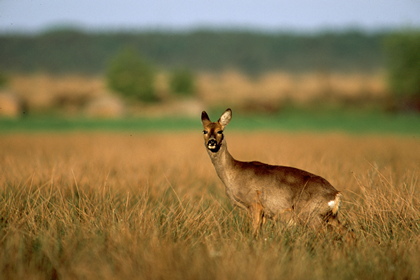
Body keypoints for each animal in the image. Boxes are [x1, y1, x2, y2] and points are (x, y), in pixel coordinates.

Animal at [201, 108, 344, 235]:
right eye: (205, 131)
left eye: (220, 131)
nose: (212, 142)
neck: (233, 173)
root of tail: (335, 194)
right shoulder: (264, 211)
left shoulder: (255, 203)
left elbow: (254, 232)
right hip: (329, 216)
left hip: (310, 214)